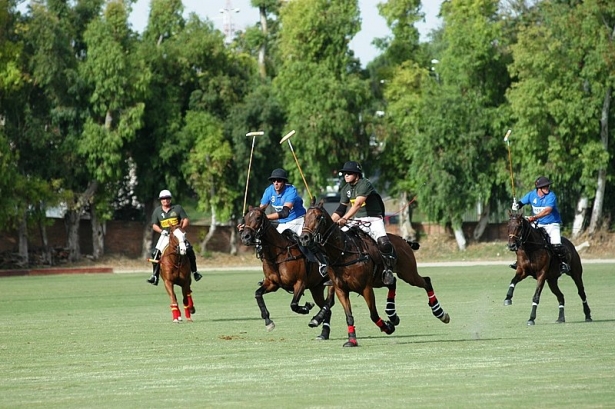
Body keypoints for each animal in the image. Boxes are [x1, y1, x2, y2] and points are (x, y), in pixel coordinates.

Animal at [241, 206, 336, 340]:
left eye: (258, 217)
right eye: (245, 218)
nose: (245, 237)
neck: (278, 255)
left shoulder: (300, 283)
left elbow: (294, 305)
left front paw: (306, 307)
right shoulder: (272, 284)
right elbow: (258, 294)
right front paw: (268, 322)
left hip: (331, 282)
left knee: (329, 303)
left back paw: (316, 320)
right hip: (316, 288)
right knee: (327, 306)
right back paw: (323, 333)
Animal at [300, 199, 450, 346]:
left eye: (318, 217)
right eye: (305, 218)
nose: (304, 238)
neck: (344, 252)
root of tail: (402, 240)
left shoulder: (366, 288)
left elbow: (373, 315)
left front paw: (387, 328)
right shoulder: (341, 289)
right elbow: (348, 316)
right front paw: (352, 340)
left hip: (408, 274)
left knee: (426, 281)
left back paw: (440, 313)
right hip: (380, 279)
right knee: (393, 282)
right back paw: (392, 314)